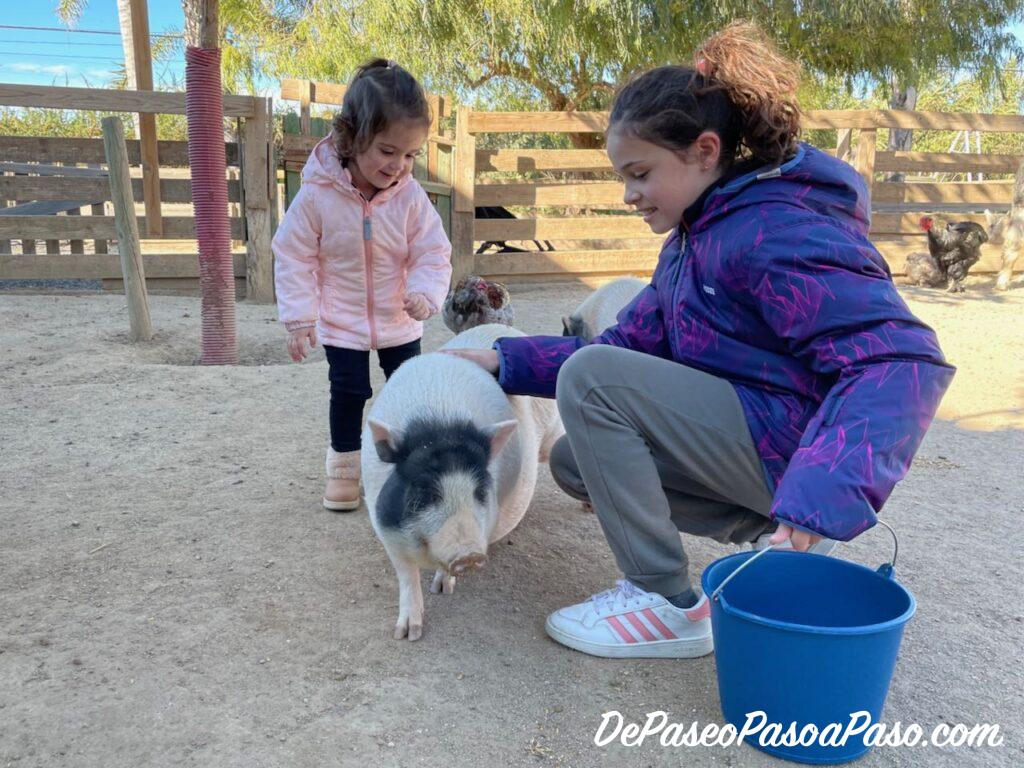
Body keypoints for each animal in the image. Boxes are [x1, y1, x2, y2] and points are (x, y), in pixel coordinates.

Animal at [360, 325, 565, 643]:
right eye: (425, 492)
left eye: (479, 491)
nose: (469, 555)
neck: (440, 423)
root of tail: (512, 330)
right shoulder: (384, 526)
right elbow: (406, 576)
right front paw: (407, 634)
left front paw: (442, 589)